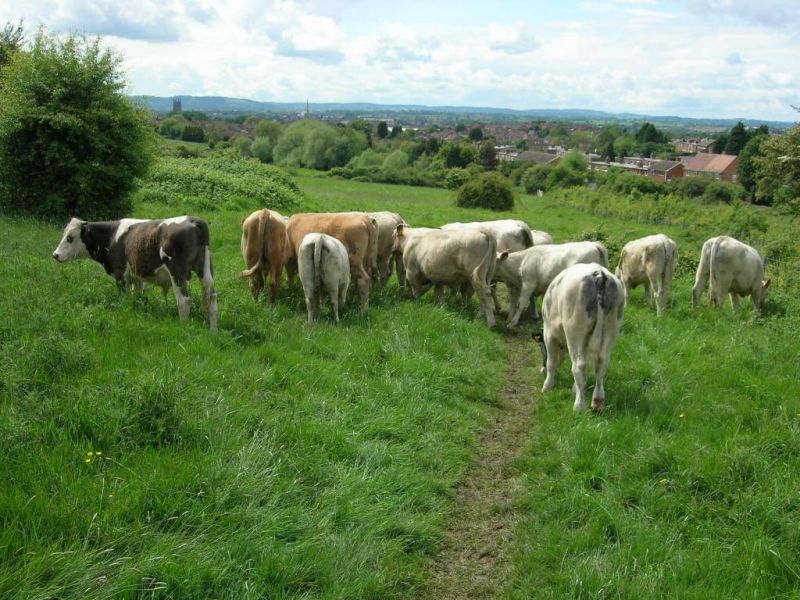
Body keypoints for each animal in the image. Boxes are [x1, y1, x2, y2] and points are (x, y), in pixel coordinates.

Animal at [52, 216, 218, 331]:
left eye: (70, 238)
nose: (55, 255)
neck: (112, 236)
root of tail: (193, 219)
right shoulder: (137, 278)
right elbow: (137, 297)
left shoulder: (121, 275)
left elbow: (124, 298)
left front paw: (125, 313)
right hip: (205, 269)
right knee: (211, 297)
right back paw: (213, 331)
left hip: (177, 272)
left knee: (184, 300)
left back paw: (183, 328)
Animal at [536, 262, 625, 412]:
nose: (541, 369)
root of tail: (598, 273)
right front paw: (575, 388)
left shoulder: (549, 333)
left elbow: (551, 362)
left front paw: (547, 386)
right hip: (611, 329)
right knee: (602, 363)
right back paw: (597, 401)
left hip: (575, 332)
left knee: (578, 365)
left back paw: (579, 406)